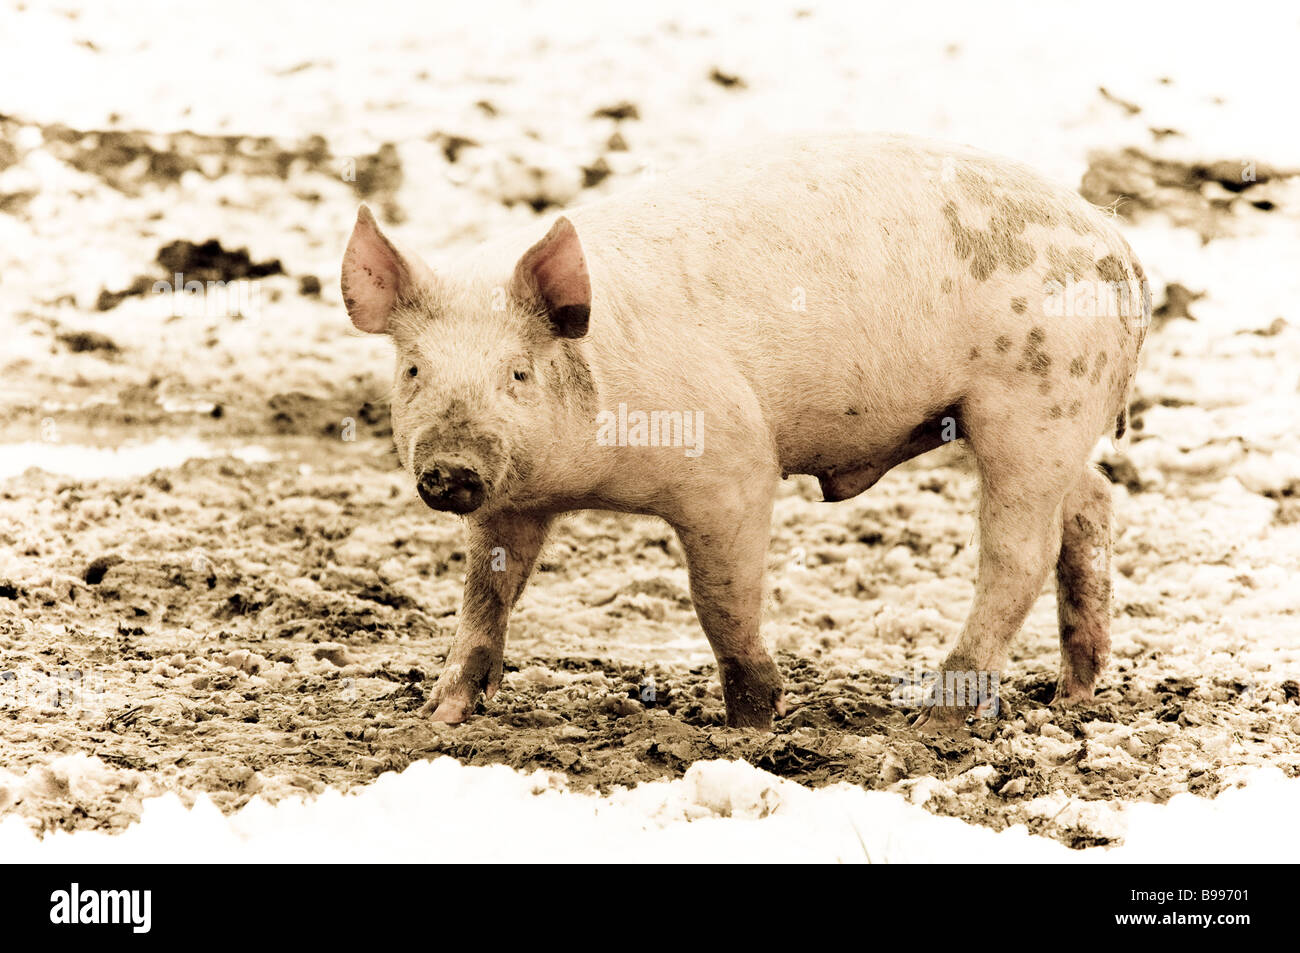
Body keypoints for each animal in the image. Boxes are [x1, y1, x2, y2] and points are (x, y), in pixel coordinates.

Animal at [340, 133, 1148, 729]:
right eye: (413, 369)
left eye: (517, 372)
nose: (450, 468)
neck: (586, 481)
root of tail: (1119, 244)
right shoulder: (513, 499)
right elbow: (485, 592)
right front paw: (439, 715)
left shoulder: (732, 466)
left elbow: (719, 599)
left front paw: (751, 722)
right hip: (1060, 423)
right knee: (1091, 505)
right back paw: (1073, 695)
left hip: (1034, 403)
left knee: (1019, 553)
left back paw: (933, 719)